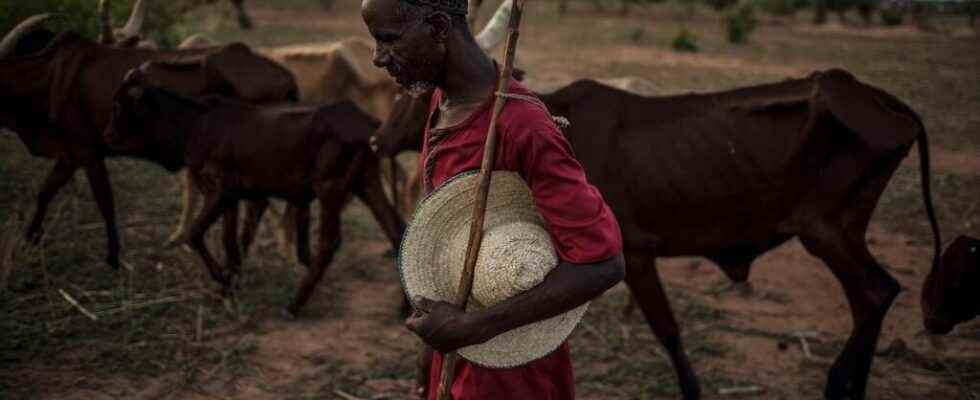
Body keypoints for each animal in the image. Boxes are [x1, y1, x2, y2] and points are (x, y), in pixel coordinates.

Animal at [0, 16, 298, 272]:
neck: (46, 75)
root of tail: (285, 76)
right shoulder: (70, 155)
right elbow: (45, 192)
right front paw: (31, 238)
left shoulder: (88, 152)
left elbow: (105, 203)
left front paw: (113, 259)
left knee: (254, 205)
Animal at [107, 75, 410, 318]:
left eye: (121, 106)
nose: (107, 134)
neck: (195, 126)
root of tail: (367, 123)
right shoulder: (232, 198)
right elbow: (230, 240)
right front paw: (230, 283)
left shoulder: (220, 191)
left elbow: (194, 234)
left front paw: (223, 278)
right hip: (366, 182)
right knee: (395, 230)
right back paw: (404, 307)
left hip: (330, 188)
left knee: (329, 243)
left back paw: (294, 305)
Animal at [370, 69, 940, 400]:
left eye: (413, 100)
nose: (377, 140)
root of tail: (879, 99)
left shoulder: (635, 253)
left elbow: (668, 330)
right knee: (874, 297)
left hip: (829, 230)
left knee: (876, 292)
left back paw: (840, 382)